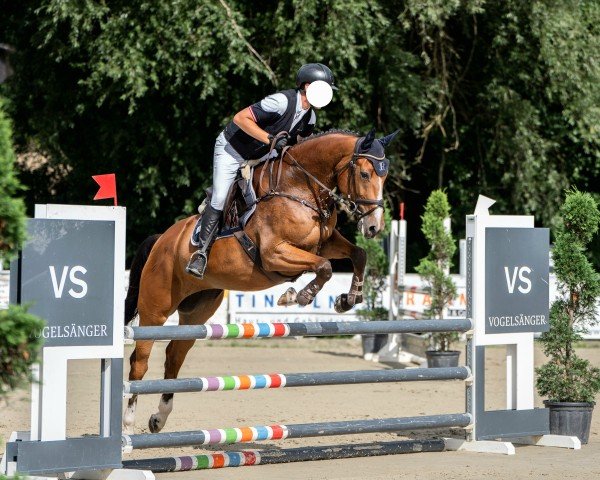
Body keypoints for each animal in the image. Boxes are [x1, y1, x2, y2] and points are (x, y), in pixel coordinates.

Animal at [122, 127, 398, 436]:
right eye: (364, 174)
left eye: (385, 176)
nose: (374, 227)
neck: (299, 188)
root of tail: (161, 240)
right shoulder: (274, 253)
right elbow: (324, 268)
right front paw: (296, 296)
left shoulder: (324, 243)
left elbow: (358, 254)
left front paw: (349, 299)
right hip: (155, 310)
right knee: (140, 361)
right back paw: (128, 424)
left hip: (196, 312)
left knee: (174, 354)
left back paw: (159, 418)